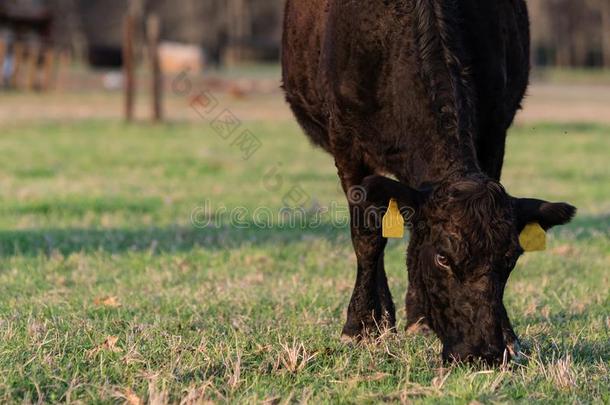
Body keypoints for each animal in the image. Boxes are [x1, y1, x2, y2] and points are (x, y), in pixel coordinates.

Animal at [280, 0, 576, 362]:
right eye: (443, 258)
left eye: (510, 259)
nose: (483, 352)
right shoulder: (347, 146)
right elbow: (367, 238)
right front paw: (359, 326)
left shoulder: (494, 131)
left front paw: (507, 335)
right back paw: (381, 319)